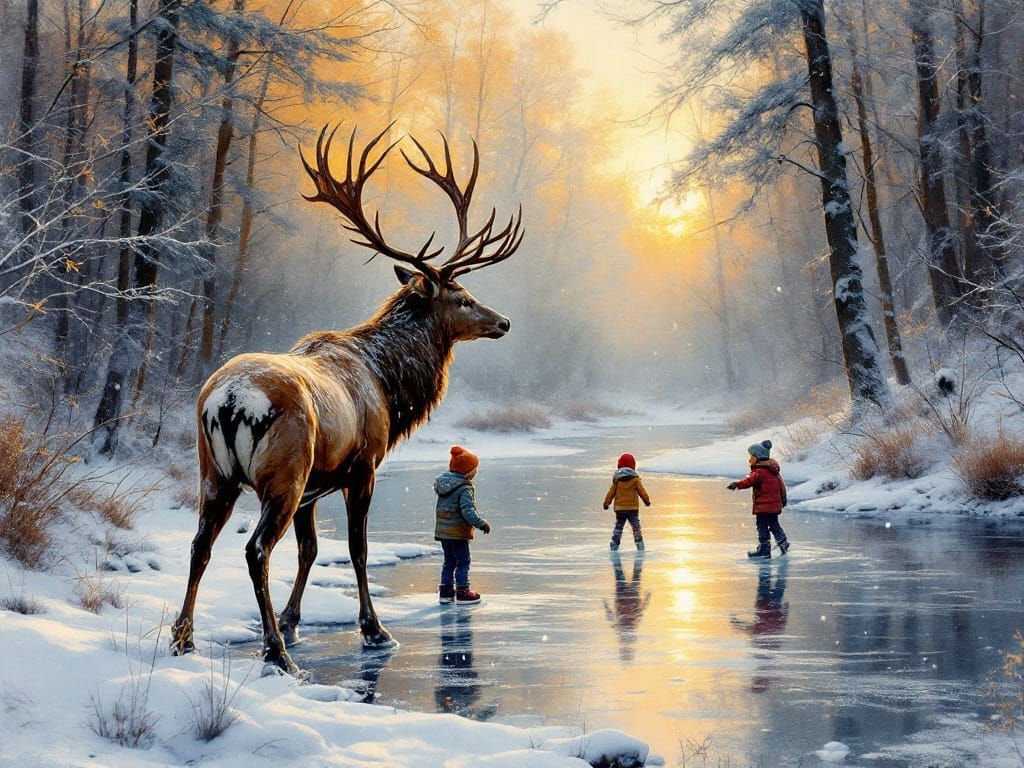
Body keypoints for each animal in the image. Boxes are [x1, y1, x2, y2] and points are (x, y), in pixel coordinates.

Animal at [169, 125, 523, 673]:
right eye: (462, 297)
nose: (502, 321)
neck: (388, 384)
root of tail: (229, 400)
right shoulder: (362, 466)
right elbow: (356, 549)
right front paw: (373, 630)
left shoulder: (315, 487)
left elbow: (311, 550)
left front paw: (294, 621)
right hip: (283, 472)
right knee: (255, 550)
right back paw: (275, 653)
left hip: (214, 472)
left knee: (199, 544)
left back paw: (183, 639)